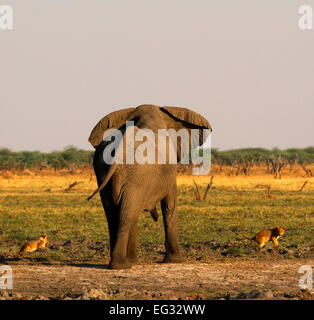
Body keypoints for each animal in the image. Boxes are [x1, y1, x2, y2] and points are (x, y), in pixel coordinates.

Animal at [87, 104, 212, 268]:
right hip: (137, 175)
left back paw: (123, 263)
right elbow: (169, 205)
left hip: (107, 171)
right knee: (127, 214)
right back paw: (121, 265)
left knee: (117, 214)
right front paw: (176, 261)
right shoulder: (169, 172)